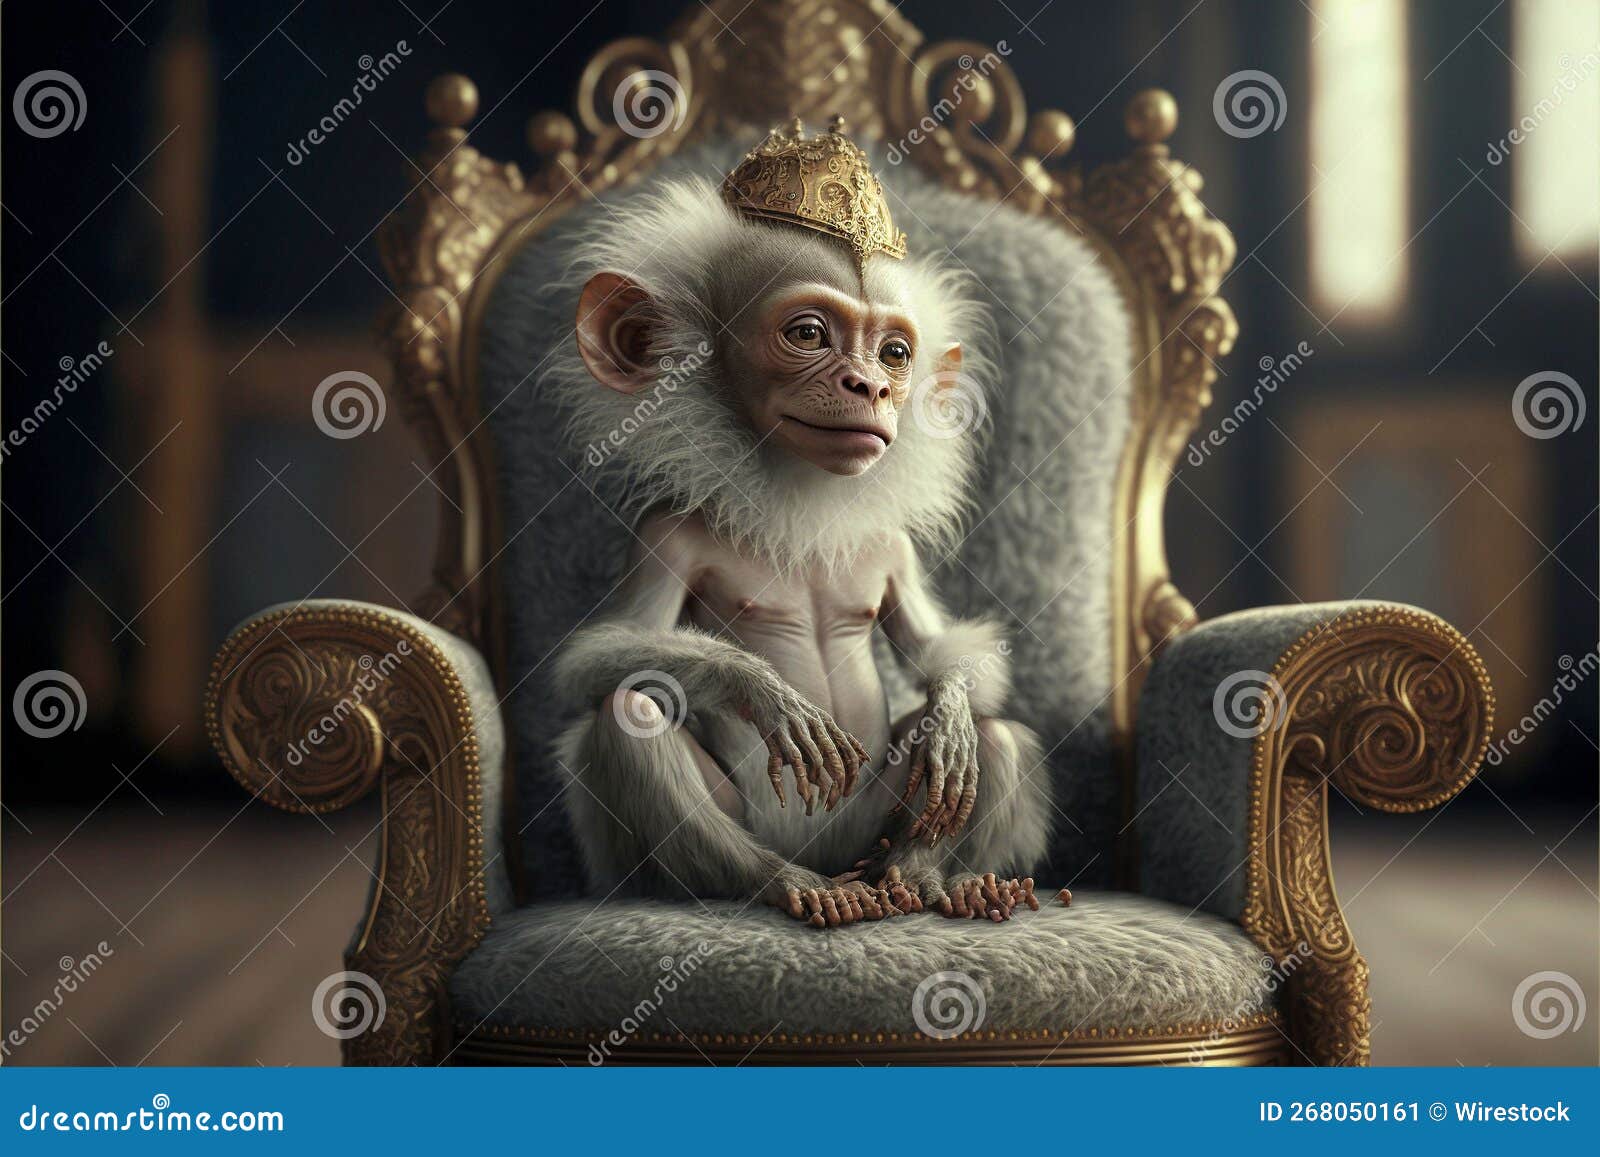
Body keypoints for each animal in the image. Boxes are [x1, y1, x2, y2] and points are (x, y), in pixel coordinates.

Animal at [545, 127, 1051, 928]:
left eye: (895, 353)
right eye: (809, 334)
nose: (869, 386)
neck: (801, 495)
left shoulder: (894, 549)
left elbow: (936, 651)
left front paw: (948, 711)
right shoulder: (667, 531)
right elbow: (596, 657)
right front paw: (760, 688)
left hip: (869, 825)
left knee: (991, 740)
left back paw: (932, 873)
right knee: (629, 715)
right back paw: (786, 882)